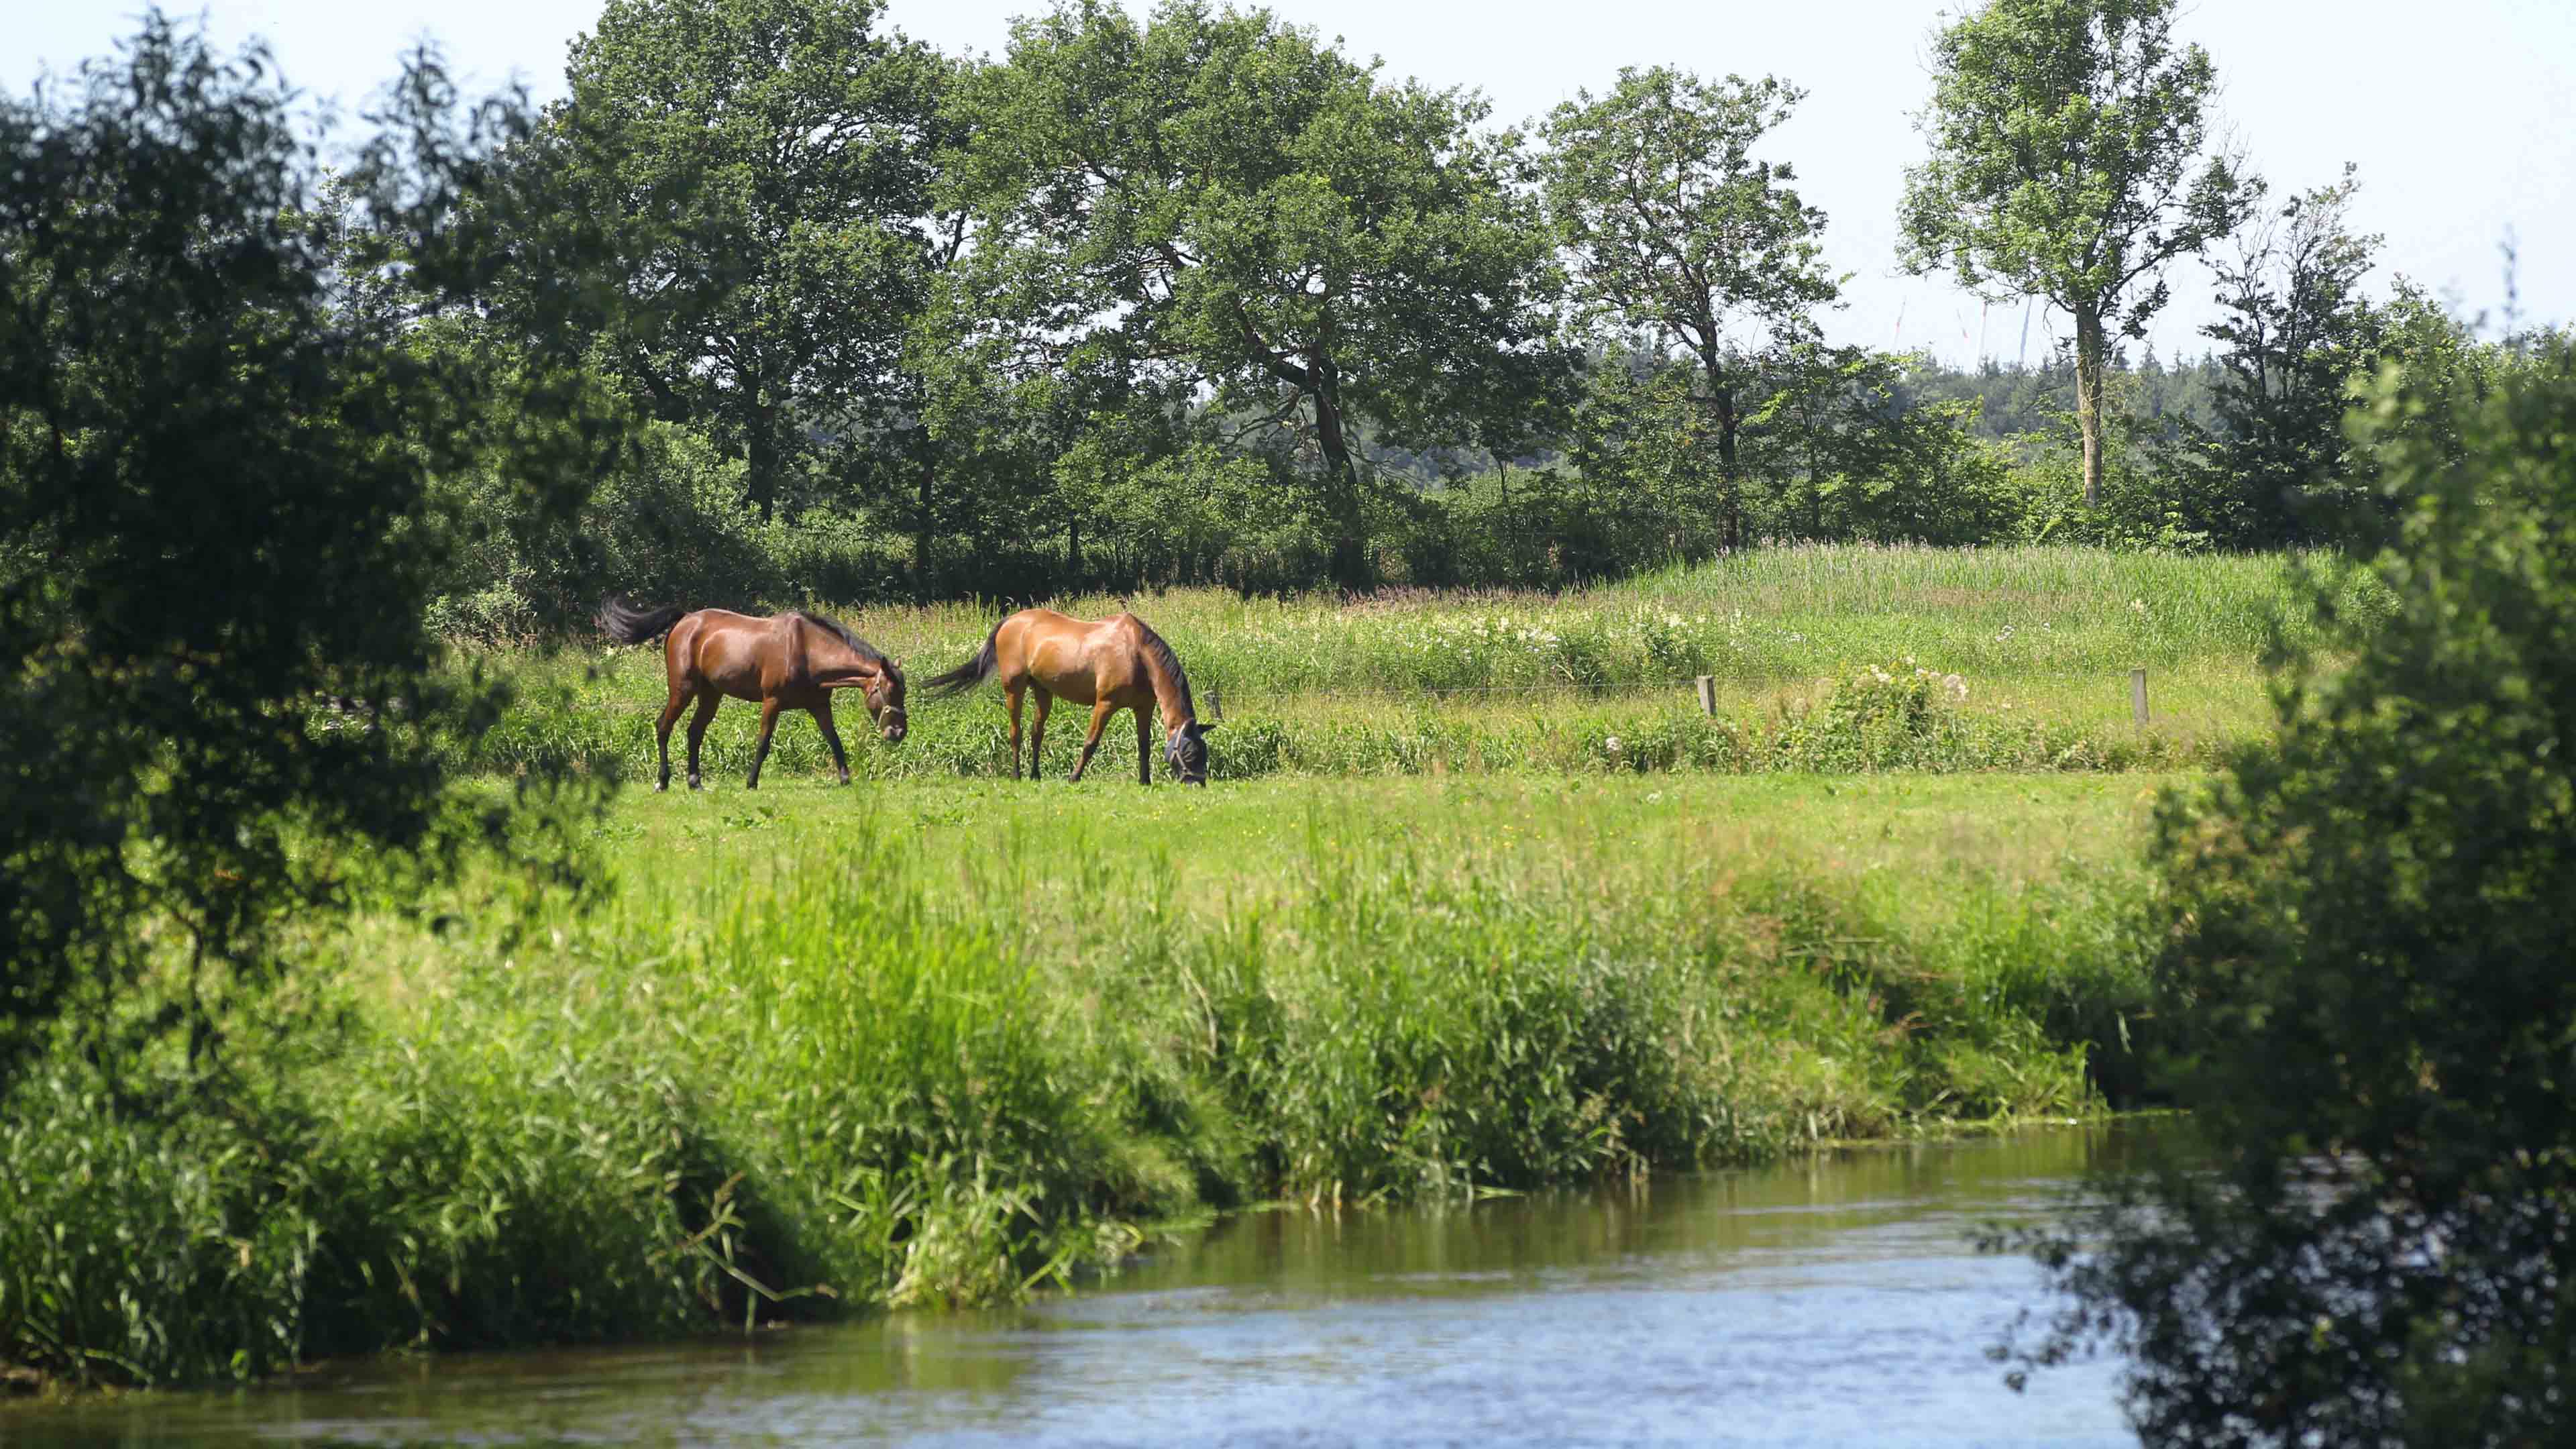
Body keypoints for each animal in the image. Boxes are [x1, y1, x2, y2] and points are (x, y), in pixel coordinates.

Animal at [596, 599, 907, 792]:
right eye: (889, 691)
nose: (898, 733)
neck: (806, 650)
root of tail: (685, 620)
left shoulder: (819, 706)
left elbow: (834, 740)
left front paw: (845, 778)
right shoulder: (772, 703)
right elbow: (763, 744)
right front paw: (751, 782)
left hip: (711, 694)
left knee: (694, 732)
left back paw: (695, 781)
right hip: (682, 690)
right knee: (663, 726)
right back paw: (663, 781)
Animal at [921, 608, 1215, 785]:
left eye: (1205, 752)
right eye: (1189, 751)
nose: (1198, 782)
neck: (1136, 653)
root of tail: (1010, 621)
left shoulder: (1143, 707)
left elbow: (1144, 745)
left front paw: (1145, 781)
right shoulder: (1105, 704)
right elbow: (1090, 743)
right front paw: (1074, 777)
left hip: (1042, 691)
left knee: (1036, 733)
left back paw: (1035, 775)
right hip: (1014, 688)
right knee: (1016, 731)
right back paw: (1017, 774)